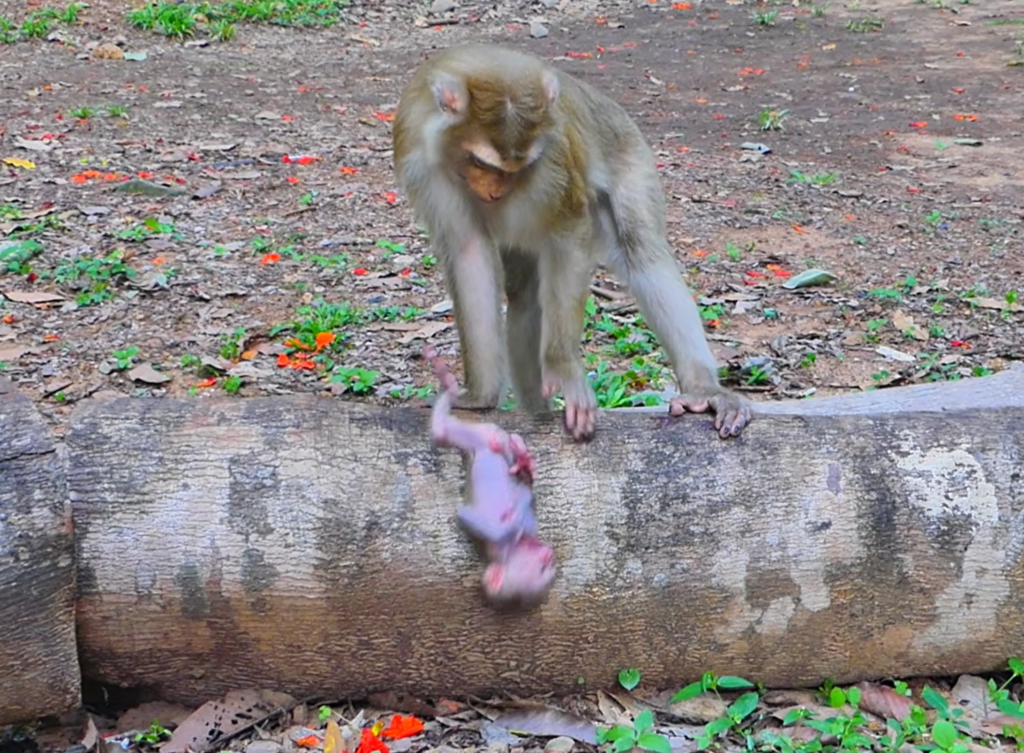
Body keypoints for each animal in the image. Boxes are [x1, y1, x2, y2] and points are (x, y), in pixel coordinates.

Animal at [392, 45, 752, 443]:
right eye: (481, 162)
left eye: (517, 168)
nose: (496, 192)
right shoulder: (424, 165)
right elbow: (468, 251)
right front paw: (479, 396)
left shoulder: (553, 160)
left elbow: (570, 234)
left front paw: (563, 369)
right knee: (524, 295)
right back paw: (535, 407)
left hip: (629, 155)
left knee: (641, 250)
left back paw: (703, 390)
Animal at [424, 345, 557, 606]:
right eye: (542, 569)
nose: (549, 555)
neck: (513, 549)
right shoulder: (501, 543)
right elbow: (469, 516)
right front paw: (517, 510)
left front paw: (524, 490)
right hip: (480, 436)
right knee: (443, 433)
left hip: (484, 434)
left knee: (447, 432)